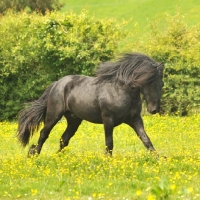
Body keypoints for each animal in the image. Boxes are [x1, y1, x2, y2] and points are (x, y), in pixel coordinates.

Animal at [17, 52, 164, 155]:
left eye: (161, 84)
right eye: (151, 84)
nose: (154, 110)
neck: (121, 92)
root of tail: (57, 84)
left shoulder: (135, 120)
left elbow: (146, 139)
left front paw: (159, 159)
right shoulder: (108, 120)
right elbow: (109, 143)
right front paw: (108, 161)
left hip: (74, 120)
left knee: (64, 139)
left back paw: (58, 157)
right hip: (54, 116)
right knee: (44, 134)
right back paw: (34, 154)